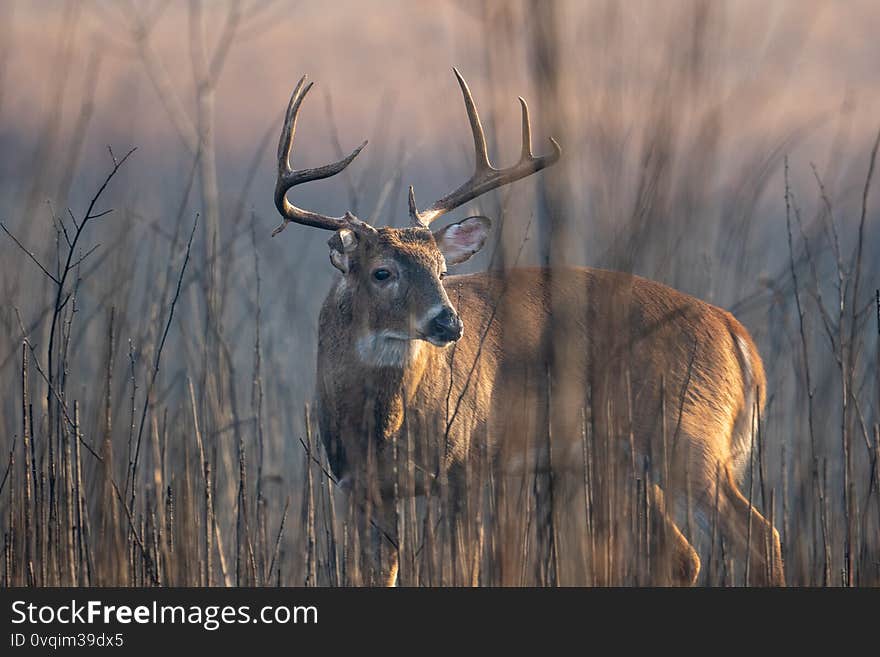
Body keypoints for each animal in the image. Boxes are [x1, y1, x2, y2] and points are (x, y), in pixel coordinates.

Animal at [270, 69, 784, 588]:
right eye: (382, 272)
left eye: (441, 269)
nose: (448, 322)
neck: (381, 425)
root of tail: (737, 335)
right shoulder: (360, 488)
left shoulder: (466, 464)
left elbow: (464, 570)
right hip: (628, 460)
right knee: (683, 556)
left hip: (688, 433)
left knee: (759, 534)